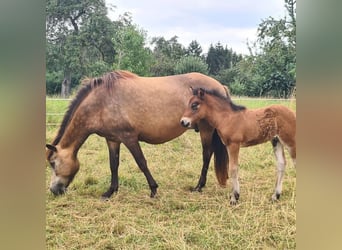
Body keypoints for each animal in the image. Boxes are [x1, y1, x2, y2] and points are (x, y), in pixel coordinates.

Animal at [45, 71, 230, 199]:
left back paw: (198, 186)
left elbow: (141, 162)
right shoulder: (112, 140)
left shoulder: (129, 138)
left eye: (53, 163)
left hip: (206, 130)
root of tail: (221, 86)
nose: (54, 190)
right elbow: (113, 165)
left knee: (206, 155)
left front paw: (153, 189)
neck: (101, 102)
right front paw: (110, 191)